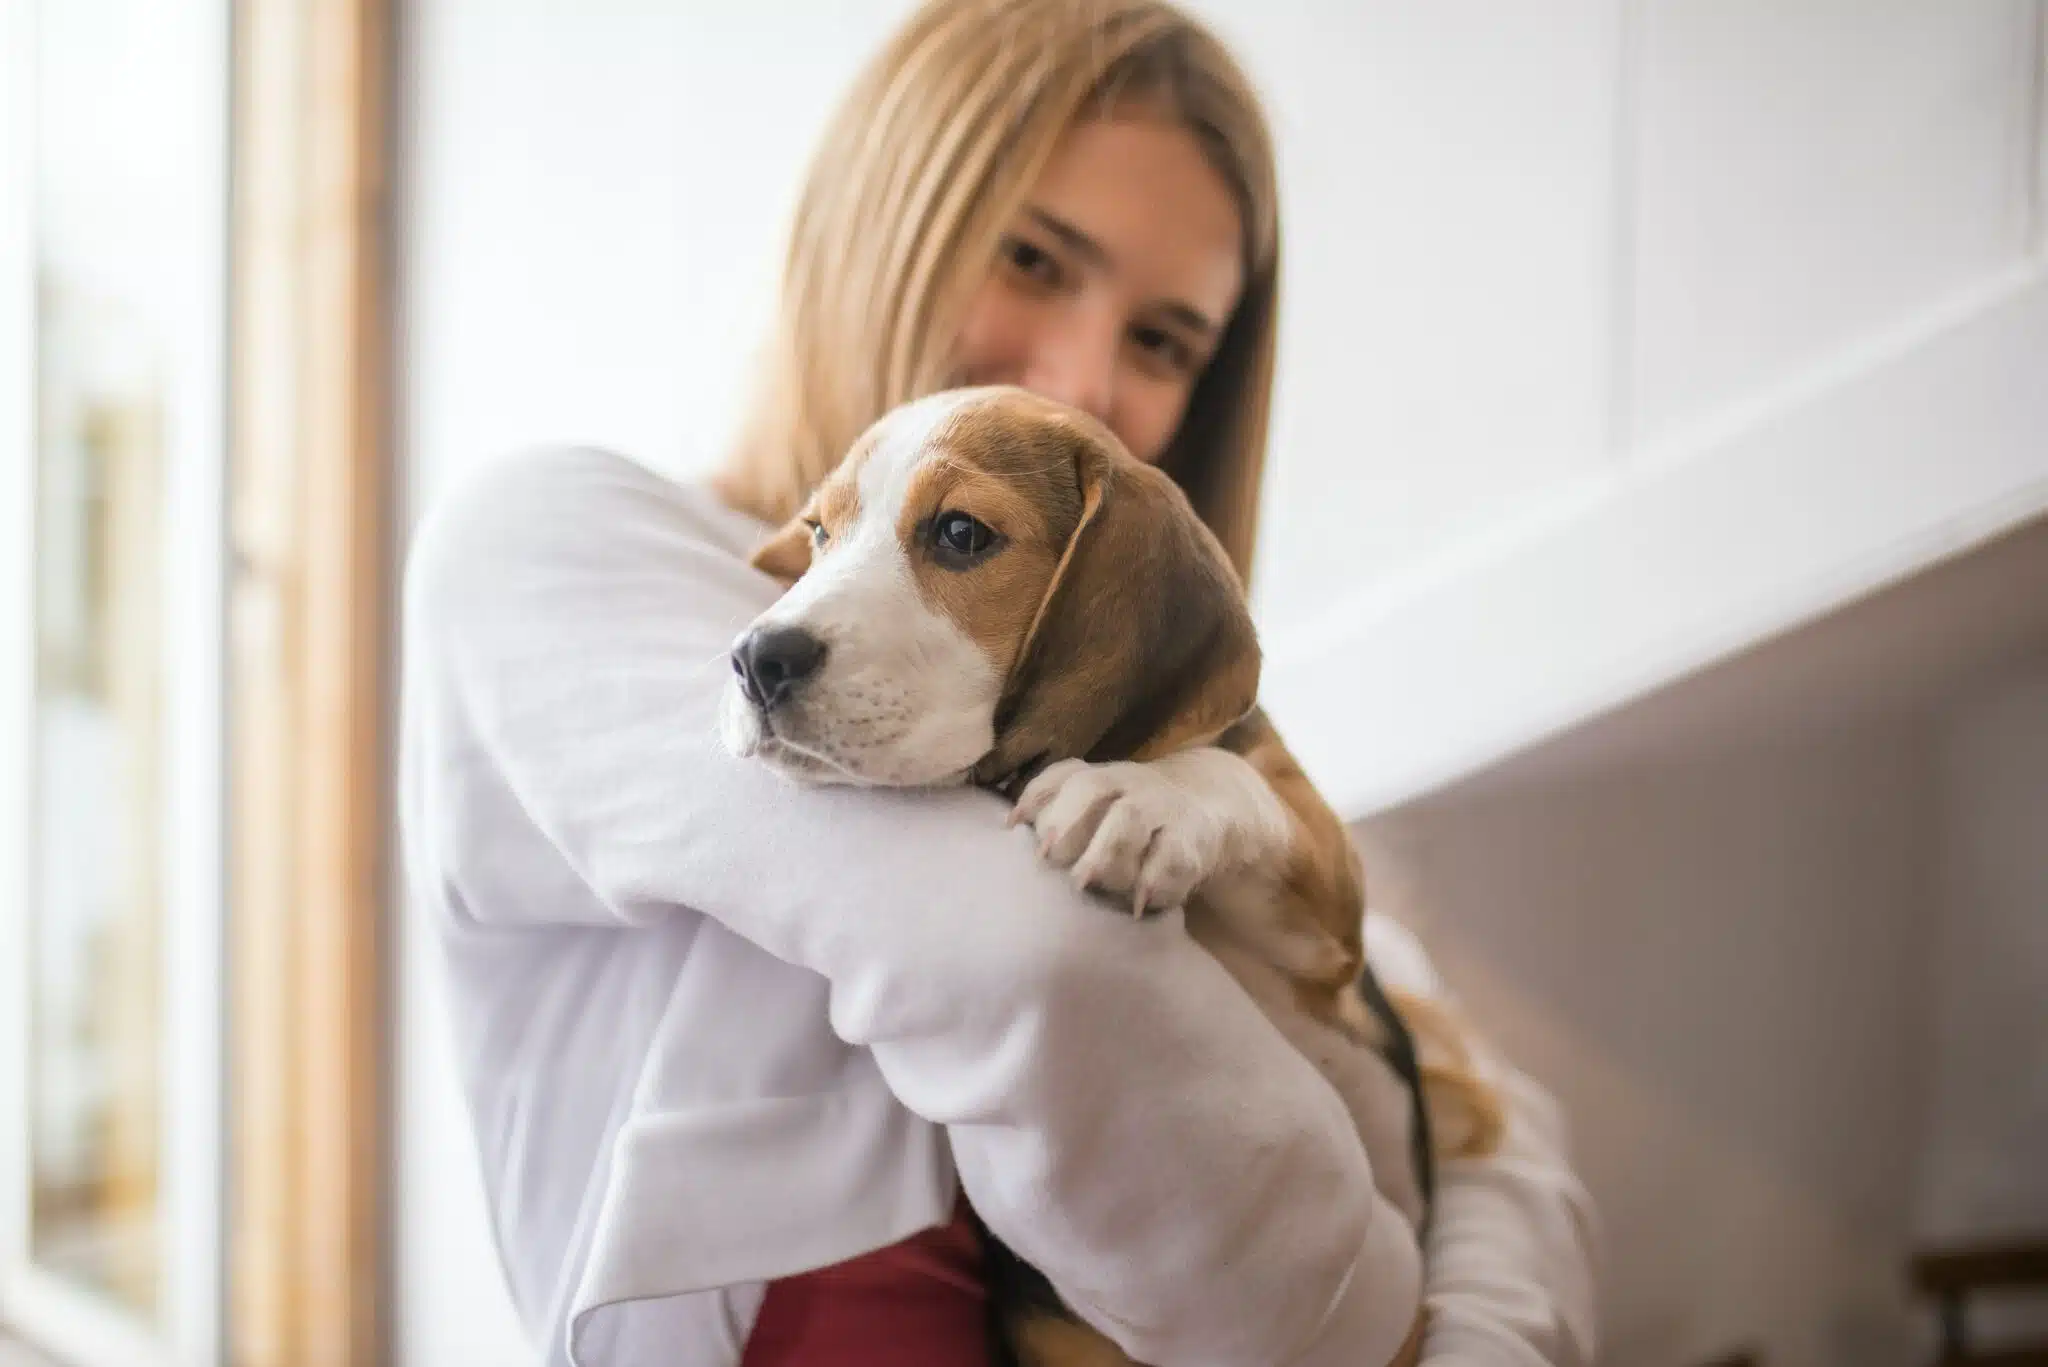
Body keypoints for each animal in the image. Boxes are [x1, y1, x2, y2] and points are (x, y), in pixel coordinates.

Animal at [720, 385, 1507, 1367]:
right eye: (820, 533)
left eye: (960, 533)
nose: (756, 658)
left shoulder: (1331, 922)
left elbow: (1227, 777)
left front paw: (1138, 794)